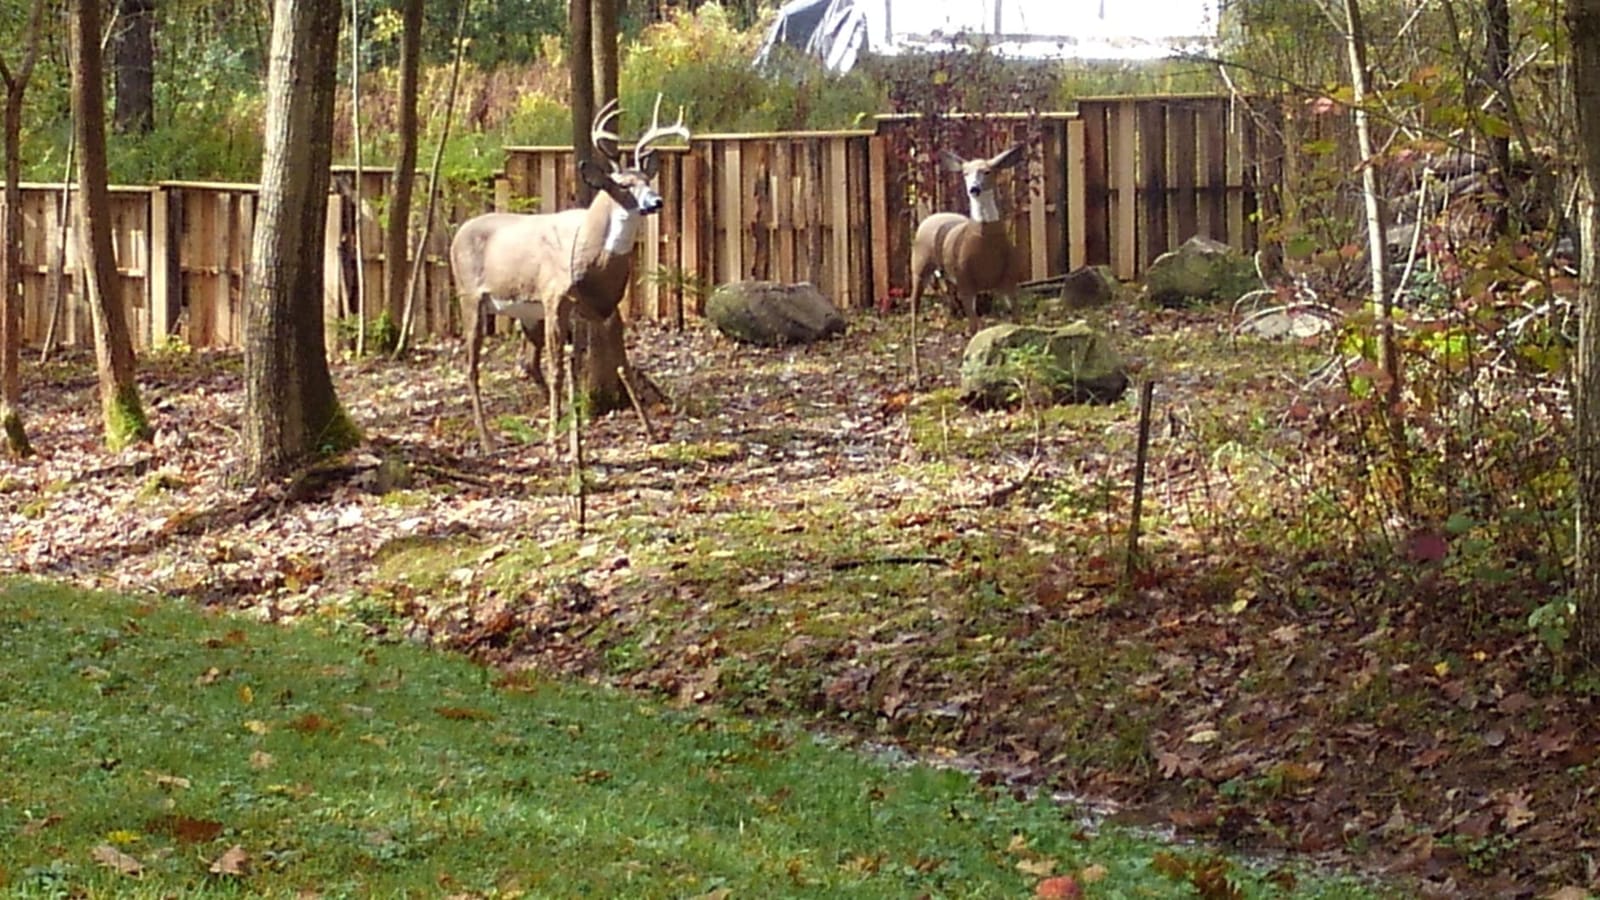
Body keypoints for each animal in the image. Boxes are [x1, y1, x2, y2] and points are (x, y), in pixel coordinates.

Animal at [450, 95, 690, 454]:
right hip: (470, 296)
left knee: (527, 364)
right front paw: (553, 440)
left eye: (649, 181)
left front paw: (650, 431)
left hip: (526, 313)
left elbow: (622, 366)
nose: (656, 201)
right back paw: (490, 440)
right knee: (471, 366)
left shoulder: (606, 307)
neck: (591, 262)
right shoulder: (554, 298)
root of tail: (456, 234)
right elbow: (559, 369)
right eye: (623, 185)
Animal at [906, 143, 1027, 383]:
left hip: (946, 276)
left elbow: (1014, 324)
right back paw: (918, 377)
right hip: (919, 267)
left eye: (988, 171)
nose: (974, 189)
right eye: (965, 173)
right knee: (914, 313)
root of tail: (930, 217)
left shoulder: (1008, 281)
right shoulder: (966, 282)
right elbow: (974, 328)